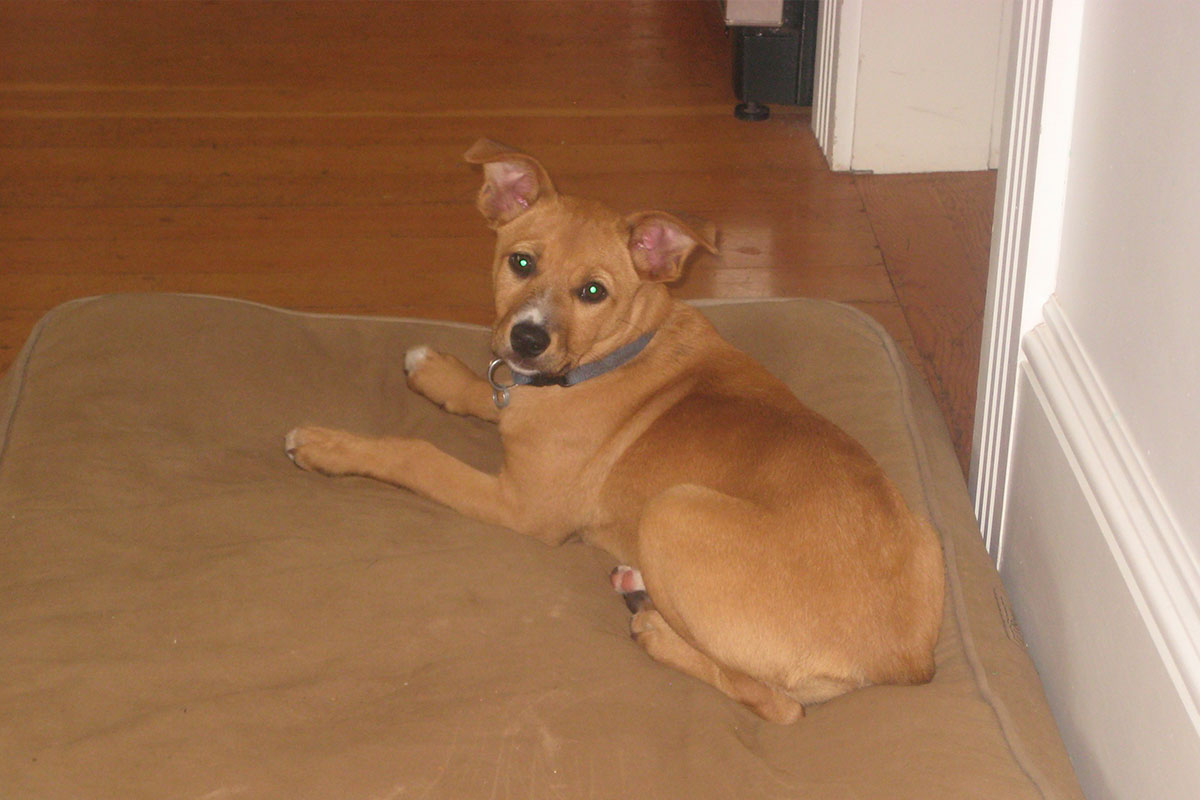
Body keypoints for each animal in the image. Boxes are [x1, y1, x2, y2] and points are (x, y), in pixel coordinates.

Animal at [285, 139, 940, 724]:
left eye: (593, 291)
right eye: (521, 262)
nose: (527, 338)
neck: (610, 356)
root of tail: (906, 663)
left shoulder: (522, 506)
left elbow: (417, 454)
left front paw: (327, 444)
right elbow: (488, 392)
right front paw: (437, 370)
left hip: (674, 509)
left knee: (777, 704)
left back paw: (653, 628)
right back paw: (637, 586)